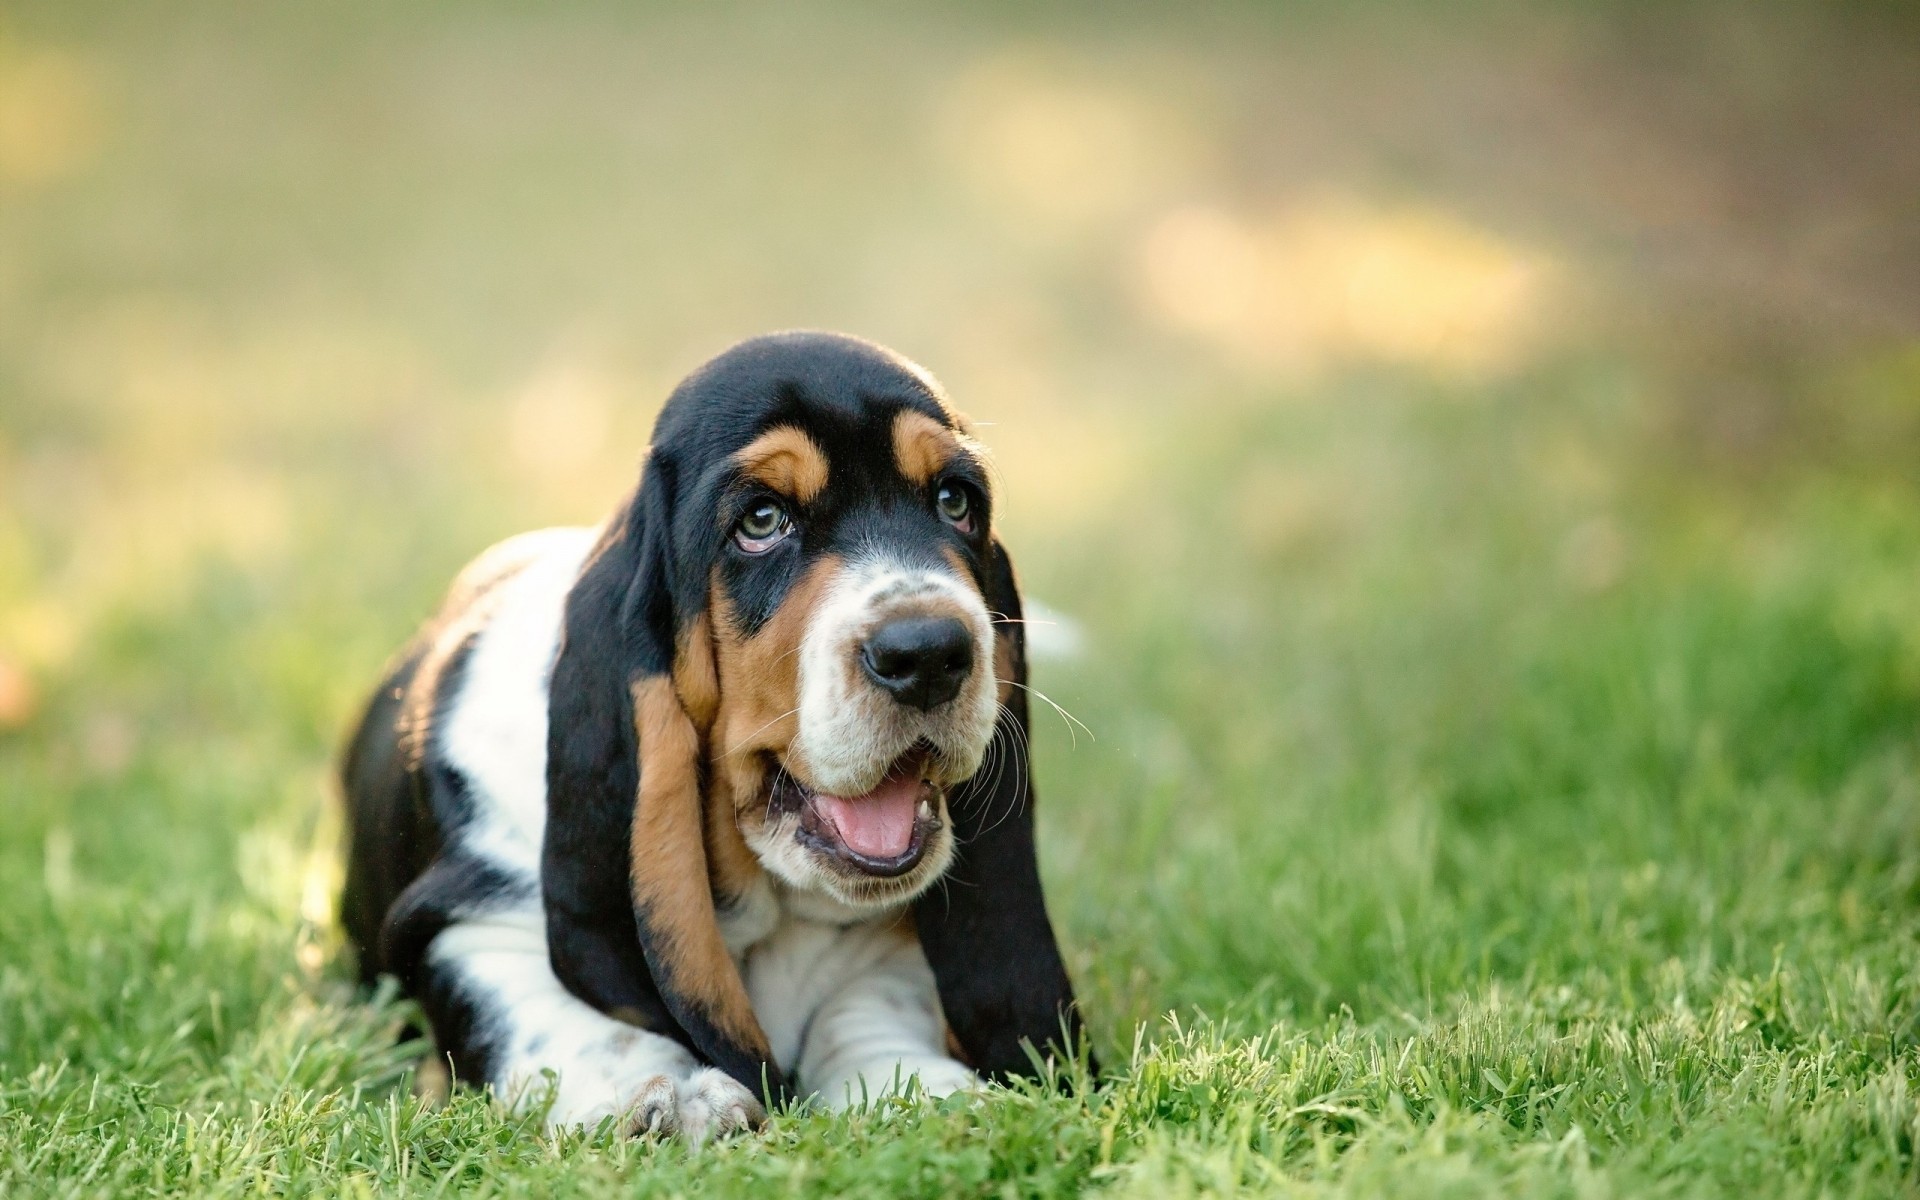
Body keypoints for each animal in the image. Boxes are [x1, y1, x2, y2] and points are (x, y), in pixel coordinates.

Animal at [345, 332, 1098, 1136]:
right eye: (761, 522)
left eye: (955, 502)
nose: (928, 653)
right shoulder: (468, 926)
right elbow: (574, 1022)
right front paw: (669, 1094)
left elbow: (867, 1007)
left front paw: (923, 1088)